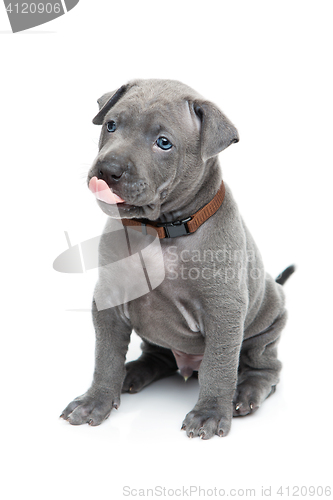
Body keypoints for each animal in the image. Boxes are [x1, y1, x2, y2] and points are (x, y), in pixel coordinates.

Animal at [60, 80, 294, 440]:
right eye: (111, 125)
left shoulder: (223, 311)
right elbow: (106, 357)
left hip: (268, 322)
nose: (107, 170)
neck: (160, 229)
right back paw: (132, 373)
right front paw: (94, 400)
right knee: (157, 356)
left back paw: (245, 393)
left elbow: (218, 365)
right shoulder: (109, 301)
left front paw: (209, 413)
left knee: (265, 367)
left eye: (164, 143)